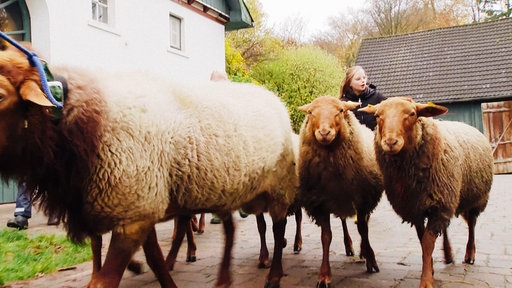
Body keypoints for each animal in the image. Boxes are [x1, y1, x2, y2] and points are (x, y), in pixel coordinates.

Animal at [0, 47, 296, 288]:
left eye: (1, 95)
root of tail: (271, 95)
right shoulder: (136, 207)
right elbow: (151, 259)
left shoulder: (133, 213)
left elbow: (107, 279)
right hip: (222, 188)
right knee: (230, 229)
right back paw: (223, 278)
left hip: (279, 188)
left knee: (278, 228)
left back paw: (274, 274)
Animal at [296, 95, 384, 286]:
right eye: (311, 112)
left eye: (341, 111)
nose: (324, 133)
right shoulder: (320, 203)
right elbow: (326, 237)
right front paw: (324, 275)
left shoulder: (362, 199)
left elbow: (363, 230)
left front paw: (371, 260)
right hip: (339, 200)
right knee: (344, 220)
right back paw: (349, 245)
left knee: (364, 224)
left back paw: (362, 251)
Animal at [358, 97, 494, 288]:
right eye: (377, 115)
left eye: (412, 114)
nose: (391, 142)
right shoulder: (416, 208)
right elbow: (422, 241)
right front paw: (431, 268)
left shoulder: (438, 207)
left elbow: (427, 243)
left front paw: (426, 280)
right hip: (446, 198)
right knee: (446, 228)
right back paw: (448, 254)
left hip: (476, 198)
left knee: (472, 225)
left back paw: (469, 254)